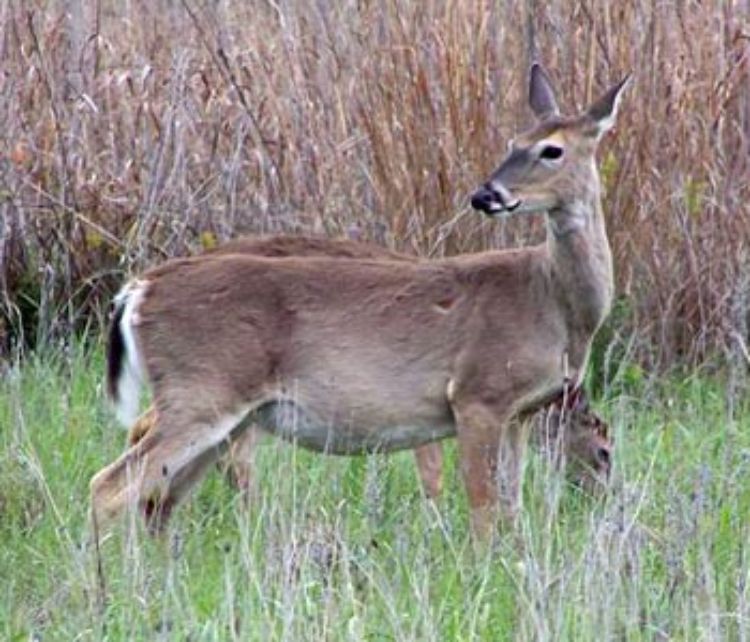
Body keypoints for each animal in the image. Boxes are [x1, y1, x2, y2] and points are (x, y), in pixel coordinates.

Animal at [91, 62, 628, 536]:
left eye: (552, 149)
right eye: (516, 143)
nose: (486, 195)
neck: (549, 299)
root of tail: (138, 291)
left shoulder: (517, 413)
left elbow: (511, 510)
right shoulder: (477, 394)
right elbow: (481, 509)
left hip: (224, 412)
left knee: (158, 498)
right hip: (202, 390)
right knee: (110, 486)